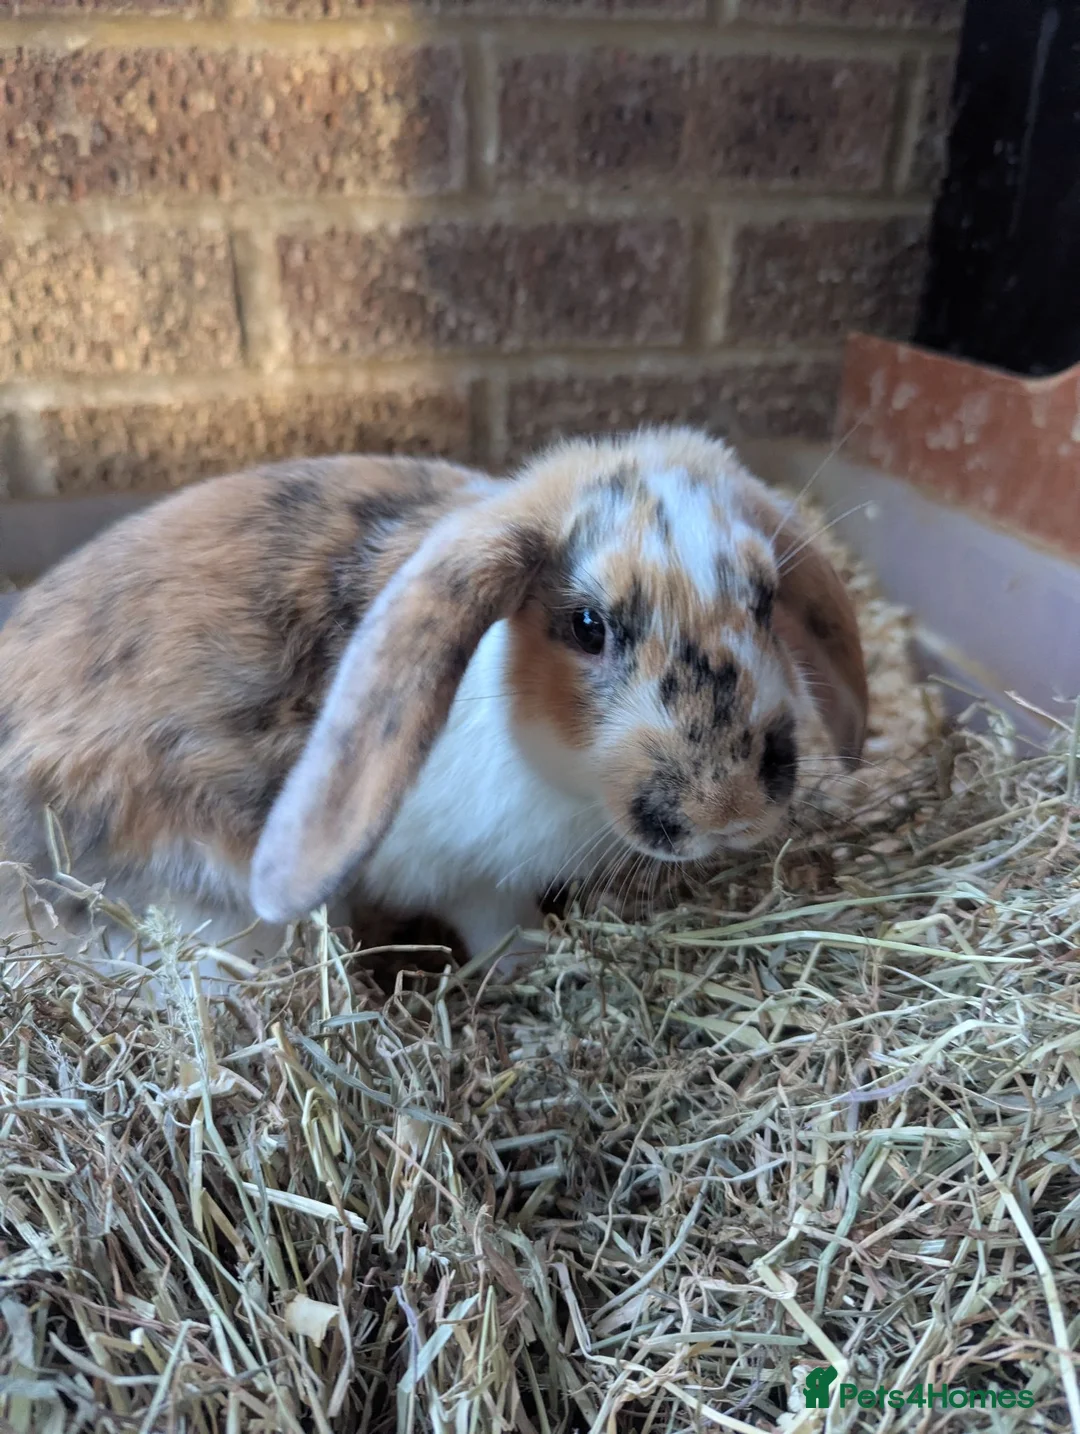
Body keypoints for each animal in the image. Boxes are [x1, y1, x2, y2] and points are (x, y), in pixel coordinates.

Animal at [0, 427, 868, 981]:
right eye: (587, 626)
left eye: (764, 602)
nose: (730, 810)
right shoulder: (460, 873)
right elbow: (497, 922)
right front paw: (536, 966)